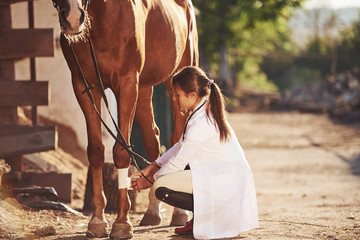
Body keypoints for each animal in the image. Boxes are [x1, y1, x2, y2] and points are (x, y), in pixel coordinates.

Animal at [51, 0, 197, 238]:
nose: (72, 18)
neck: (102, 17)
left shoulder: (127, 83)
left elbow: (121, 151)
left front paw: (121, 222)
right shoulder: (84, 85)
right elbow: (95, 151)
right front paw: (97, 220)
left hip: (176, 79)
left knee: (177, 138)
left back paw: (180, 214)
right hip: (144, 88)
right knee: (153, 138)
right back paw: (152, 211)